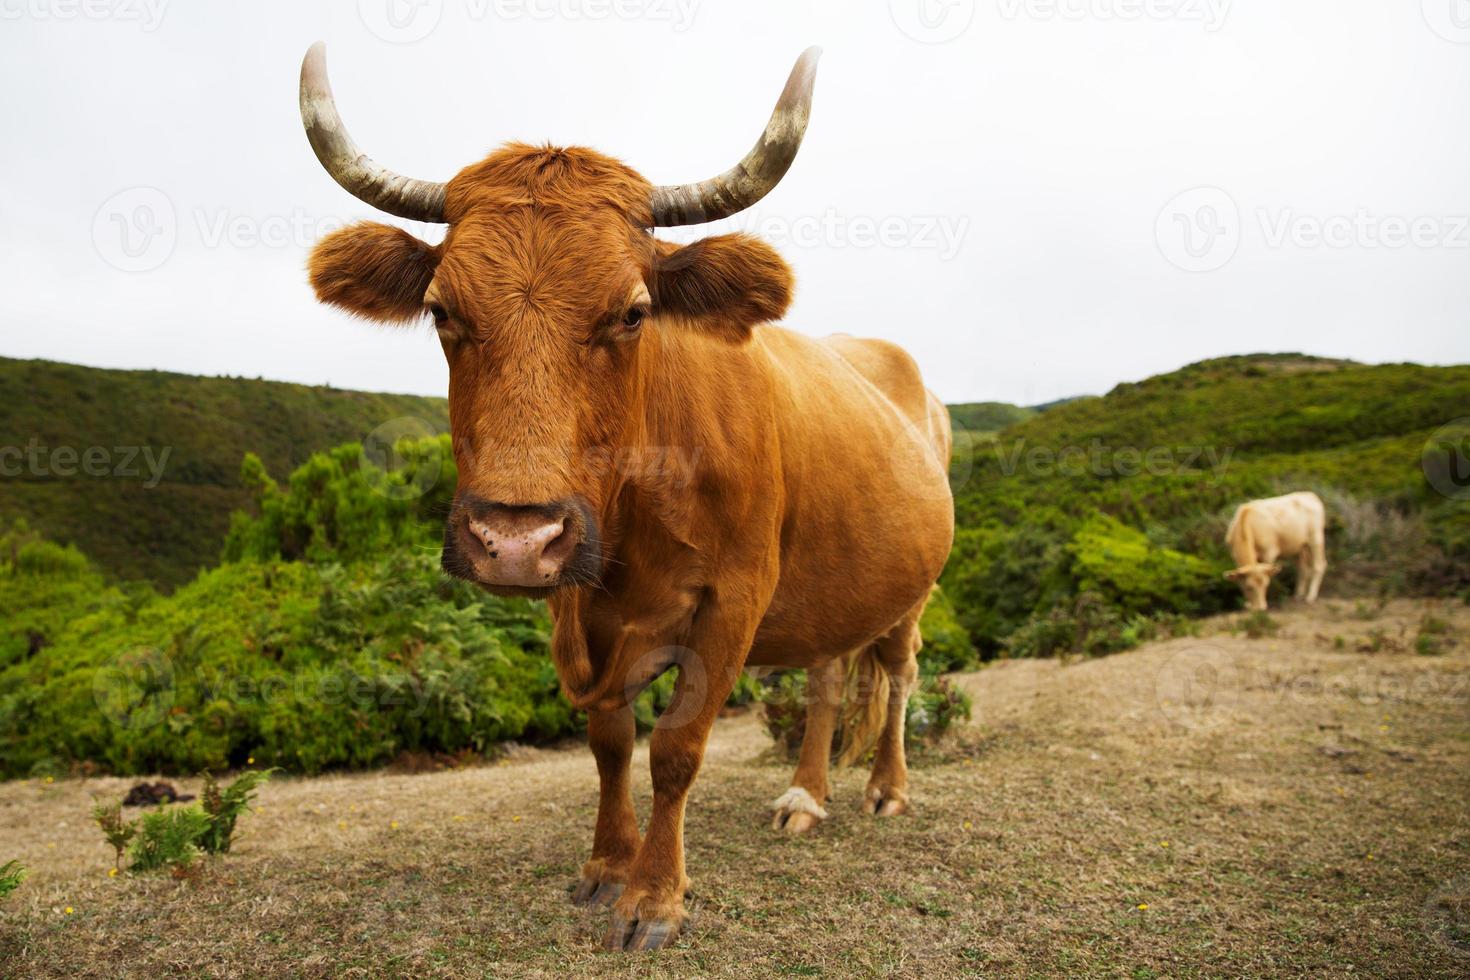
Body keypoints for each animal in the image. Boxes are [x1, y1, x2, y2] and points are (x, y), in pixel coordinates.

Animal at [295, 44, 952, 952]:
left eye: (635, 312)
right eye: (440, 310)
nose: (514, 541)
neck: (639, 519)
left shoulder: (734, 599)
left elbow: (675, 747)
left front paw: (654, 897)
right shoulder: (577, 604)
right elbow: (610, 741)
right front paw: (609, 865)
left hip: (912, 591)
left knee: (897, 673)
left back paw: (886, 788)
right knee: (825, 677)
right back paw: (805, 795)